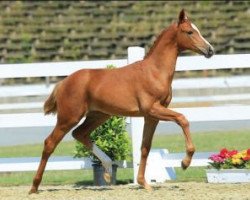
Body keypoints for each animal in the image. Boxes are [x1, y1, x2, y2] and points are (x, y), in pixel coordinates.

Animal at [28, 9, 213, 194]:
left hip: (99, 115)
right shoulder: (152, 109)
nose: (210, 50)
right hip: (69, 117)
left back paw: (108, 169)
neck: (154, 71)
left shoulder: (151, 116)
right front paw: (185, 162)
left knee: (79, 133)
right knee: (50, 143)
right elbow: (182, 119)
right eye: (190, 32)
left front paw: (144, 183)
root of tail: (63, 82)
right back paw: (34, 187)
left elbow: (145, 147)